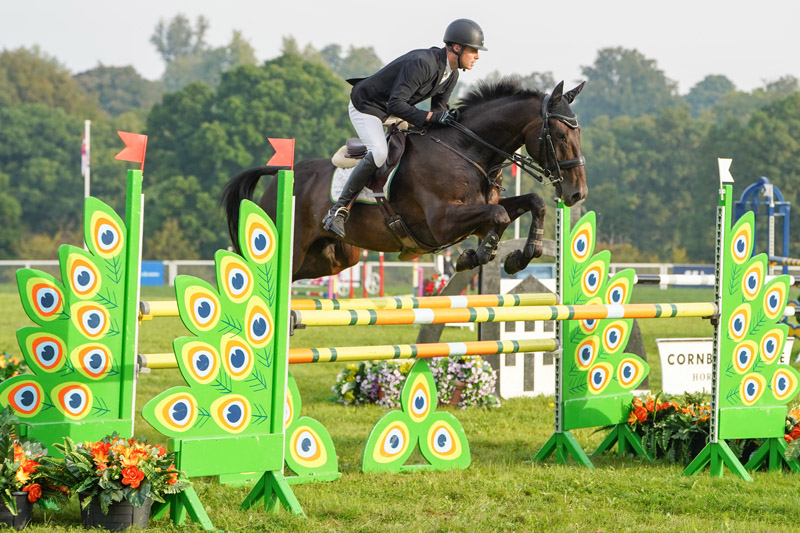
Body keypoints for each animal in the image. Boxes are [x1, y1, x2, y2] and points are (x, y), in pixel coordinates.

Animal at [221, 79, 587, 281]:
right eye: (558, 134)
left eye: (578, 132)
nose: (577, 195)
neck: (467, 149)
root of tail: (280, 176)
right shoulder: (441, 223)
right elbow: (498, 217)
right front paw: (475, 256)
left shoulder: (477, 216)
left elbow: (532, 204)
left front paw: (520, 256)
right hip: (294, 247)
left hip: (335, 258)